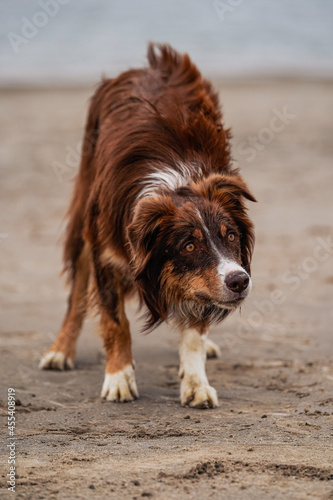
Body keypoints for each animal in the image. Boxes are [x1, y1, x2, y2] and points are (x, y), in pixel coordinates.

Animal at [40, 44, 255, 410]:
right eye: (189, 245)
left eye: (231, 236)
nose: (239, 281)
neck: (177, 183)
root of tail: (151, 61)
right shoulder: (106, 253)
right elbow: (116, 321)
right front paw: (119, 378)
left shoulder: (200, 282)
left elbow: (195, 334)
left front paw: (196, 382)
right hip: (84, 213)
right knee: (77, 294)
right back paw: (60, 350)